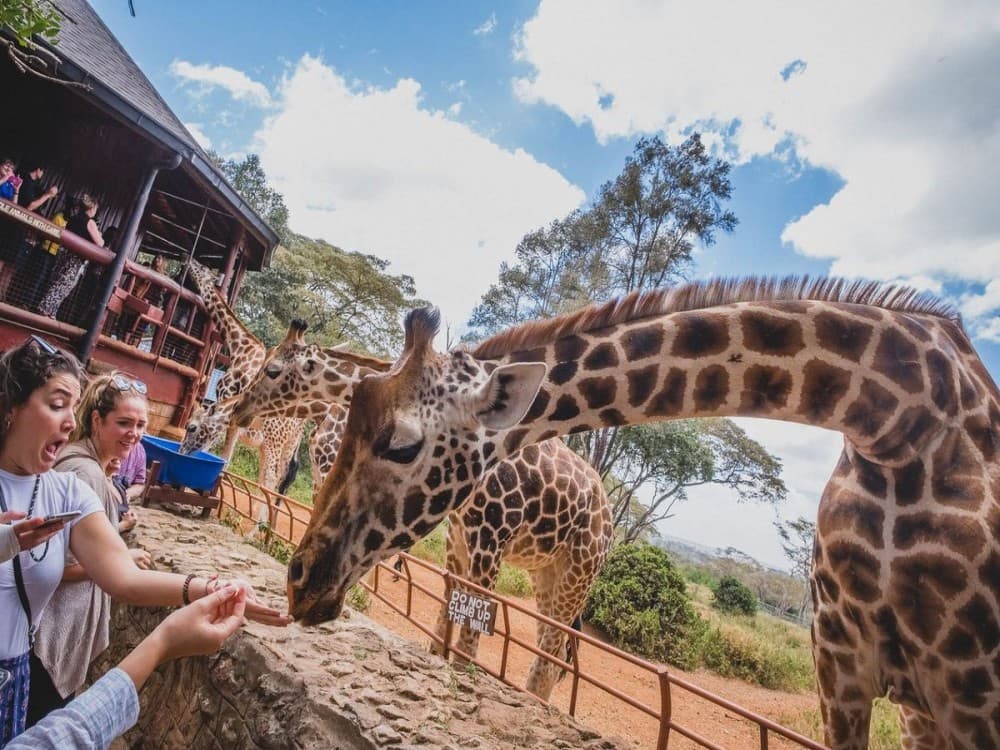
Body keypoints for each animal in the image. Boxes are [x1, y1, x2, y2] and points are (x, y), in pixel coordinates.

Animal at [233, 330, 614, 700]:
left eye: (272, 369)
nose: (238, 408)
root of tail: (608, 517)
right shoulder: (456, 534)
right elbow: (443, 624)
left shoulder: (490, 535)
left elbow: (468, 638)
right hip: (546, 571)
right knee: (551, 648)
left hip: (580, 571)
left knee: (552, 652)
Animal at [286, 277, 1000, 749]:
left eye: (402, 444)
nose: (301, 582)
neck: (896, 419)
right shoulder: (841, 661)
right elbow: (449, 626)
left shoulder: (967, 688)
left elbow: (465, 637)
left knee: (548, 658)